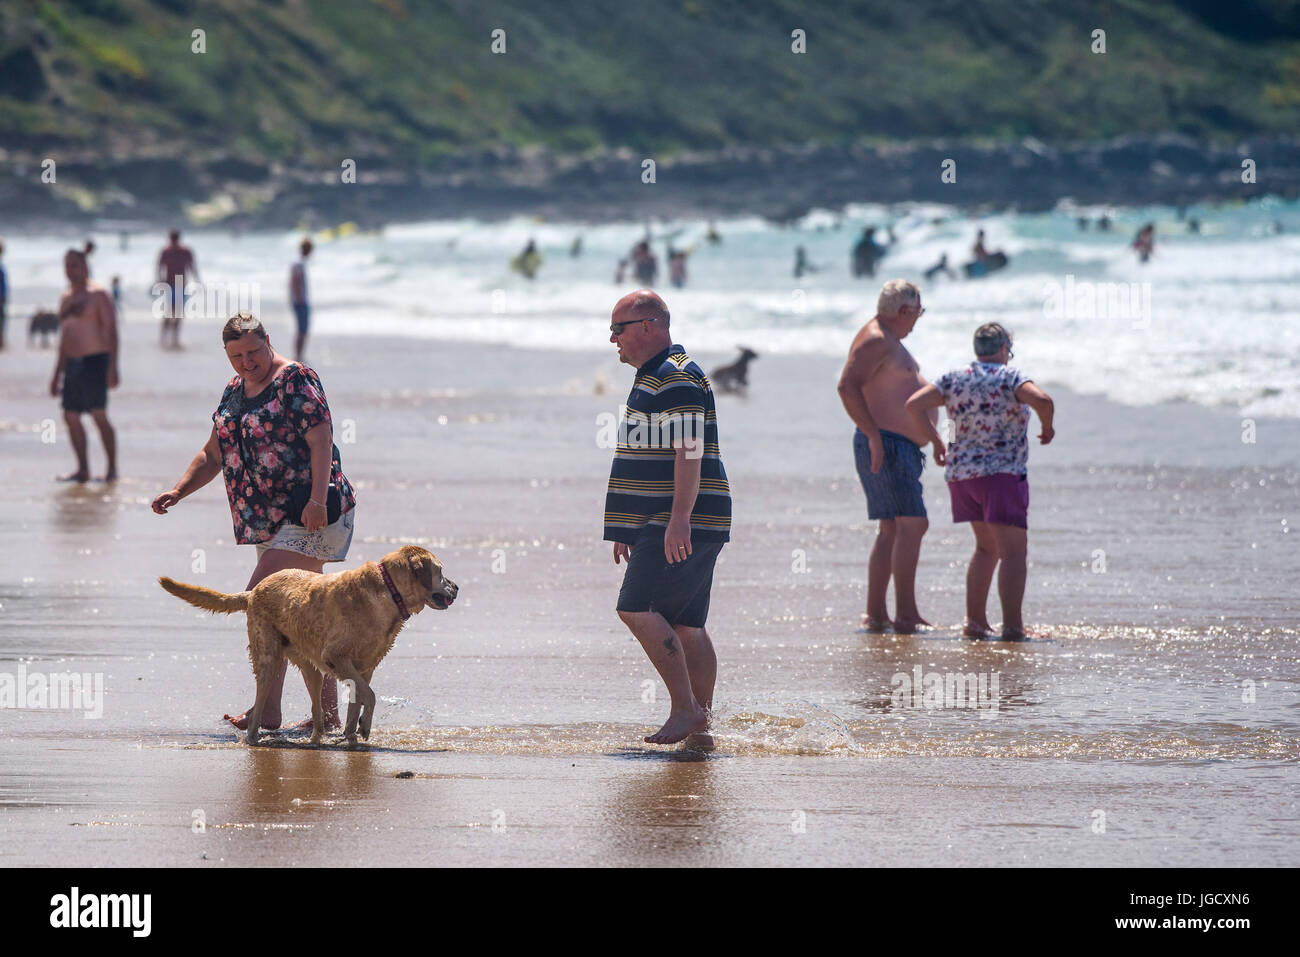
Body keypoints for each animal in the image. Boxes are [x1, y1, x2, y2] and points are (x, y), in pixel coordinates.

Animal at [160, 546, 460, 748]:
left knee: (317, 710)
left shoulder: (365, 666)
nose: (457, 587)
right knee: (261, 699)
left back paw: (317, 739)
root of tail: (254, 590)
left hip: (311, 667)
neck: (389, 591)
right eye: (441, 571)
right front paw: (363, 729)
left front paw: (352, 735)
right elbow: (371, 695)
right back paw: (254, 738)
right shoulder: (337, 656)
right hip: (268, 657)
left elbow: (358, 700)